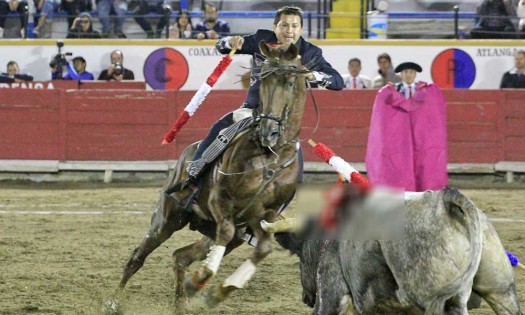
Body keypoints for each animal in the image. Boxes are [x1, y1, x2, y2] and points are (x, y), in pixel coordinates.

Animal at [109, 40, 308, 312]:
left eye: (289, 82)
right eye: (262, 79)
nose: (268, 132)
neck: (271, 156)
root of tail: (186, 153)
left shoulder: (261, 216)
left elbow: (264, 248)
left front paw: (221, 290)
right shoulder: (221, 201)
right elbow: (227, 232)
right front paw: (204, 279)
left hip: (215, 233)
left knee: (180, 256)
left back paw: (181, 303)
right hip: (166, 220)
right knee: (137, 257)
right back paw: (113, 303)